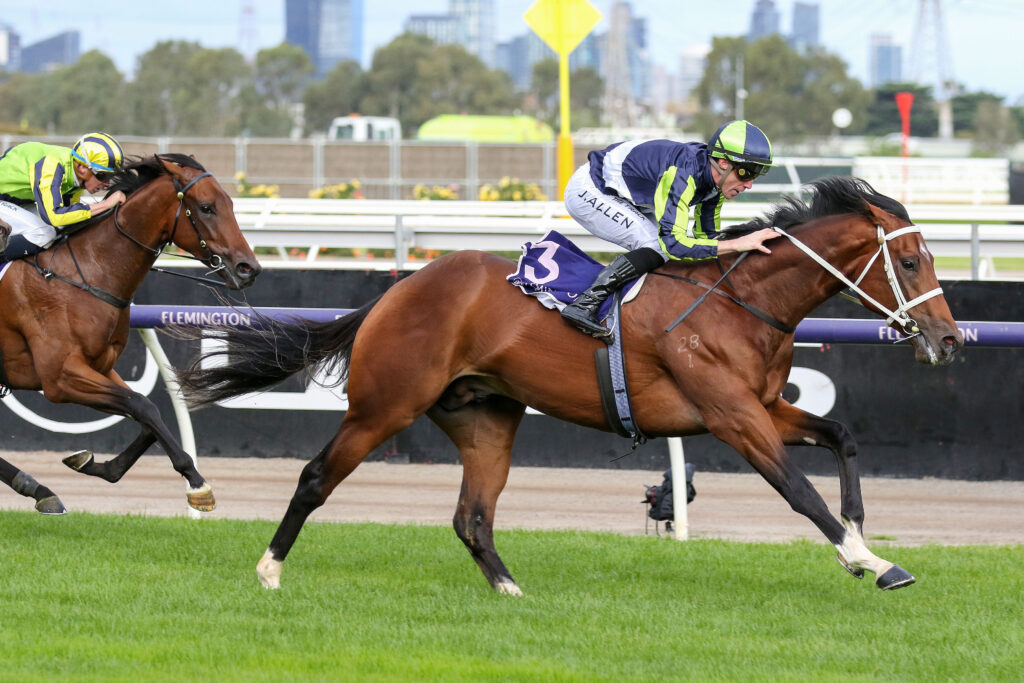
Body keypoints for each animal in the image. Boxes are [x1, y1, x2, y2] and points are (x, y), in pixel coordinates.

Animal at [0, 153, 261, 514]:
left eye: (231, 203)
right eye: (207, 207)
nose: (248, 268)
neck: (87, 273)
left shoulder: (101, 367)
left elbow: (147, 414)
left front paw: (94, 464)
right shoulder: (60, 377)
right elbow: (143, 406)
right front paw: (197, 483)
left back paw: (39, 489)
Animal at [174, 176, 962, 594]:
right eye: (912, 262)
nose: (950, 339)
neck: (743, 299)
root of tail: (396, 291)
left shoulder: (765, 406)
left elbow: (843, 435)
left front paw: (860, 529)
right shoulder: (733, 416)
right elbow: (798, 491)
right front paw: (870, 559)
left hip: (485, 417)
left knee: (472, 515)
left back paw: (510, 590)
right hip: (384, 404)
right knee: (315, 476)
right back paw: (269, 569)